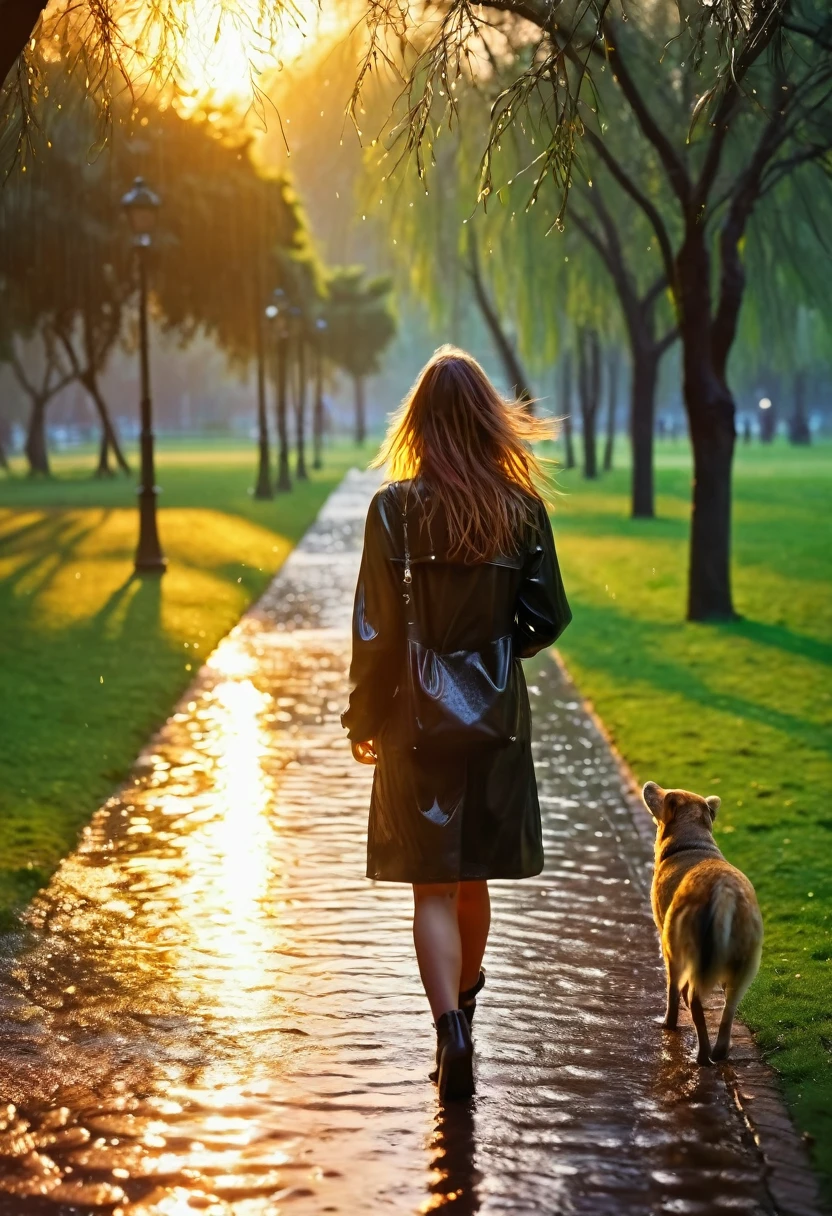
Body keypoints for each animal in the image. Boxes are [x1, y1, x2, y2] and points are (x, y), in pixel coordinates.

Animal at [642, 783, 763, 1060]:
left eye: (664, 793)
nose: (650, 784)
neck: (692, 843)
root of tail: (724, 891)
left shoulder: (668, 947)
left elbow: (672, 991)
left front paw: (669, 1023)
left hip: (687, 950)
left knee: (694, 1001)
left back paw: (701, 1055)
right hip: (745, 967)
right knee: (728, 1011)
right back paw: (720, 1052)